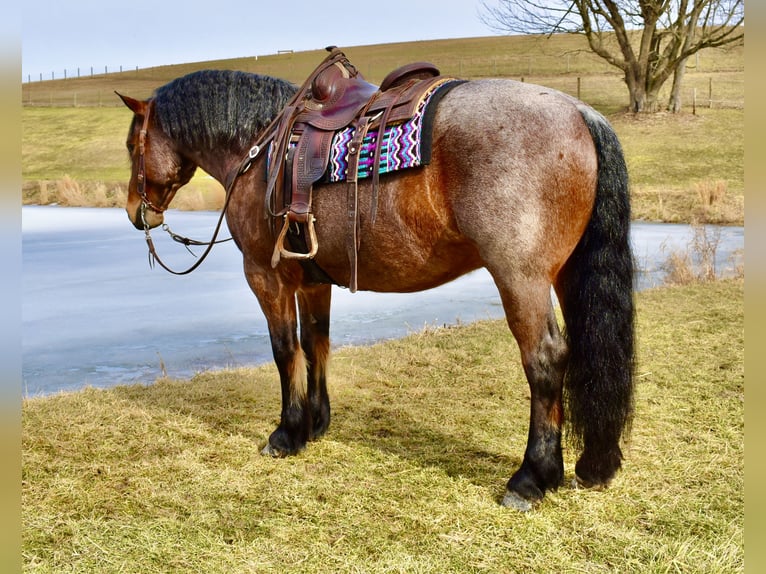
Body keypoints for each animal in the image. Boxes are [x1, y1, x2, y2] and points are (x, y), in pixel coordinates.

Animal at [117, 58, 635, 511]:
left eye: (130, 144)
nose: (136, 212)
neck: (259, 151)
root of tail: (579, 112)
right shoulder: (313, 281)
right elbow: (316, 343)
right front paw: (316, 423)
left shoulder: (266, 276)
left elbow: (285, 351)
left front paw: (286, 434)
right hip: (566, 275)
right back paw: (594, 464)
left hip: (521, 278)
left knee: (545, 360)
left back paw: (531, 478)